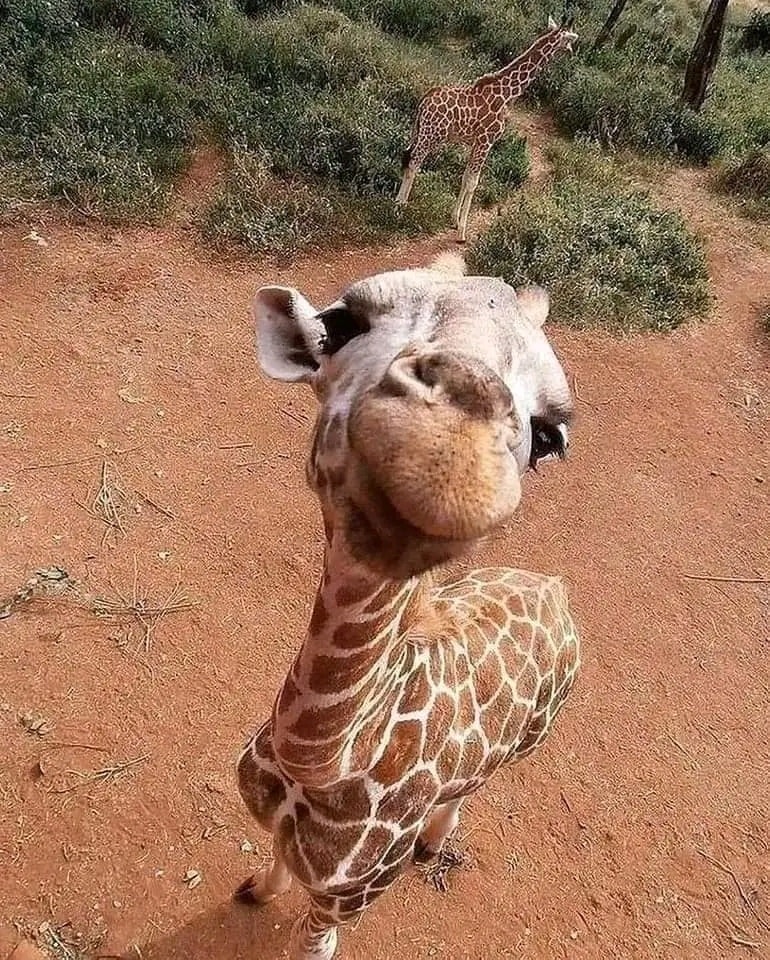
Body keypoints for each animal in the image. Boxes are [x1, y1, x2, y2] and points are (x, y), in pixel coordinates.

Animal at [235, 251, 581, 960]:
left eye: (549, 435)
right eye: (339, 324)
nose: (447, 456)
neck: (324, 766)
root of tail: (554, 587)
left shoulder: (349, 899)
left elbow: (313, 943)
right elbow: (275, 859)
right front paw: (258, 889)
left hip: (534, 737)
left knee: (481, 783)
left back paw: (434, 841)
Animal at [396, 15, 578, 242]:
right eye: (570, 37)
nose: (572, 51)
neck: (508, 93)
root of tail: (424, 101)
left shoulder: (476, 142)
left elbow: (465, 177)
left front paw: (454, 220)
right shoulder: (487, 140)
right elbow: (473, 181)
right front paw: (462, 232)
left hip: (418, 130)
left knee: (406, 158)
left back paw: (396, 204)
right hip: (431, 135)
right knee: (413, 163)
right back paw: (400, 209)